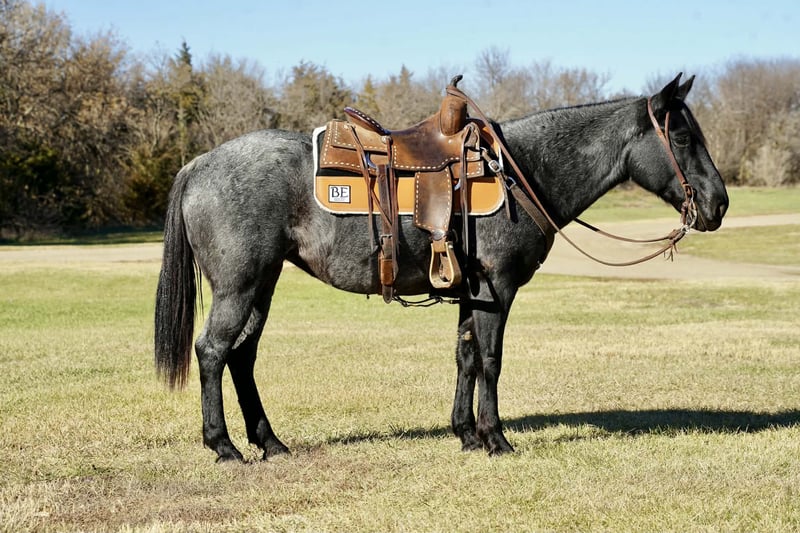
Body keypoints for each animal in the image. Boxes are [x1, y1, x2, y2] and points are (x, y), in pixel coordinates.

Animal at [154, 74, 729, 462]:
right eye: (682, 138)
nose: (719, 204)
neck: (520, 172)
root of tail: (199, 163)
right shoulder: (496, 288)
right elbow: (491, 361)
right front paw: (496, 438)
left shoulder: (470, 291)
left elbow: (465, 357)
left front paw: (466, 434)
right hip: (239, 285)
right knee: (213, 351)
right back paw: (224, 446)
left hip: (263, 284)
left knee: (241, 356)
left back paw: (270, 442)